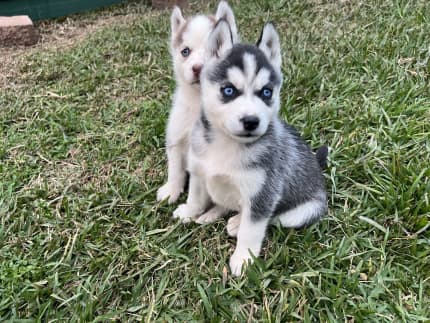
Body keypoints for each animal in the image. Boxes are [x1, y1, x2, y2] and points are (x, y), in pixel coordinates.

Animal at [173, 19, 328, 276]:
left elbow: (253, 228)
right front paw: (190, 210)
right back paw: (211, 214)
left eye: (266, 92)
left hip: (302, 211)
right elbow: (195, 196)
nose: (251, 121)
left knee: (273, 218)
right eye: (228, 90)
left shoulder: (262, 194)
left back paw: (236, 223)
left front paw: (244, 258)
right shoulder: (198, 171)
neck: (227, 143)